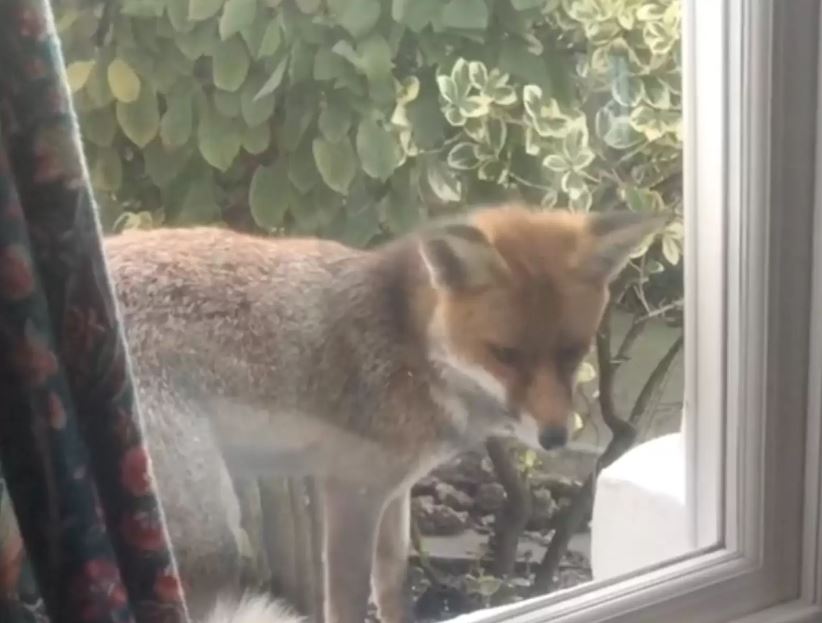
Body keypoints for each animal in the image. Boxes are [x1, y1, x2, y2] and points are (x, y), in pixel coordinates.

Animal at [104, 205, 668, 623]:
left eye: (573, 353)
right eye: (505, 356)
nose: (555, 437)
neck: (413, 348)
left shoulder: (395, 490)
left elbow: (393, 587)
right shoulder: (349, 490)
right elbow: (349, 602)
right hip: (208, 533)